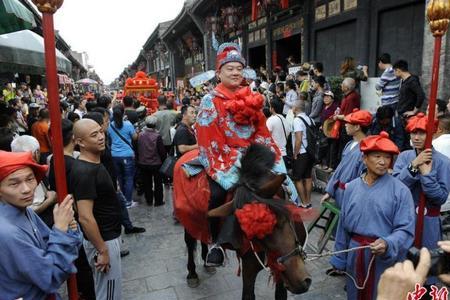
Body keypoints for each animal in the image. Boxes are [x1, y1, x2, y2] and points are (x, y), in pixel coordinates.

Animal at [174, 144, 312, 298]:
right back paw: (192, 274)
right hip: (187, 218)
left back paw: (206, 261)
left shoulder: (281, 273)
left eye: (282, 218)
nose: (299, 281)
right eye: (250, 232)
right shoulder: (249, 268)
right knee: (190, 242)